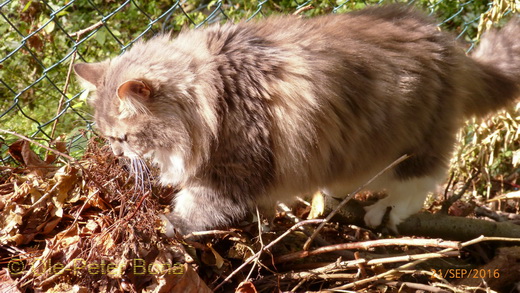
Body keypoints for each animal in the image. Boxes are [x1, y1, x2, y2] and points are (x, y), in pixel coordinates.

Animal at [74, 5, 520, 233]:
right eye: (110, 138)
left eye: (123, 138)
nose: (117, 154)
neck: (213, 90)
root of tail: (444, 40)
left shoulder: (234, 165)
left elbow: (198, 204)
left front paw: (168, 226)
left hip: (416, 140)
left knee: (422, 180)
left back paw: (385, 210)